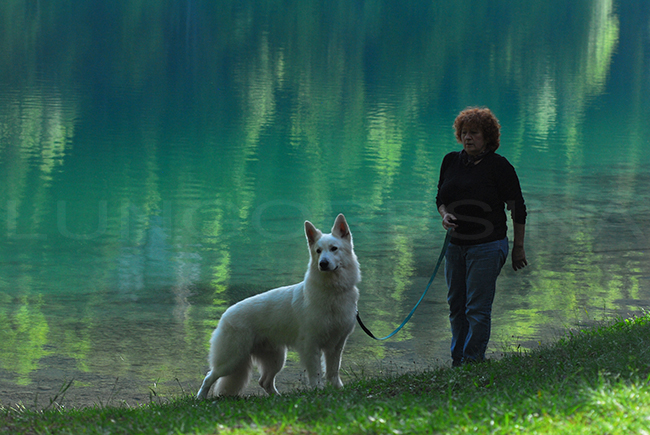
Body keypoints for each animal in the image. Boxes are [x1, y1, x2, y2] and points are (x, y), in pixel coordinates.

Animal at [195, 215, 362, 398]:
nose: (323, 264)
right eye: (318, 251)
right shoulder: (311, 345)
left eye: (334, 249)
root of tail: (225, 315)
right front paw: (318, 390)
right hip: (232, 360)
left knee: (264, 382)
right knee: (209, 377)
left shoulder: (337, 344)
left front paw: (338, 389)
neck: (333, 291)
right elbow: (316, 373)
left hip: (275, 359)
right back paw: (200, 398)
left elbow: (333, 371)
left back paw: (278, 397)